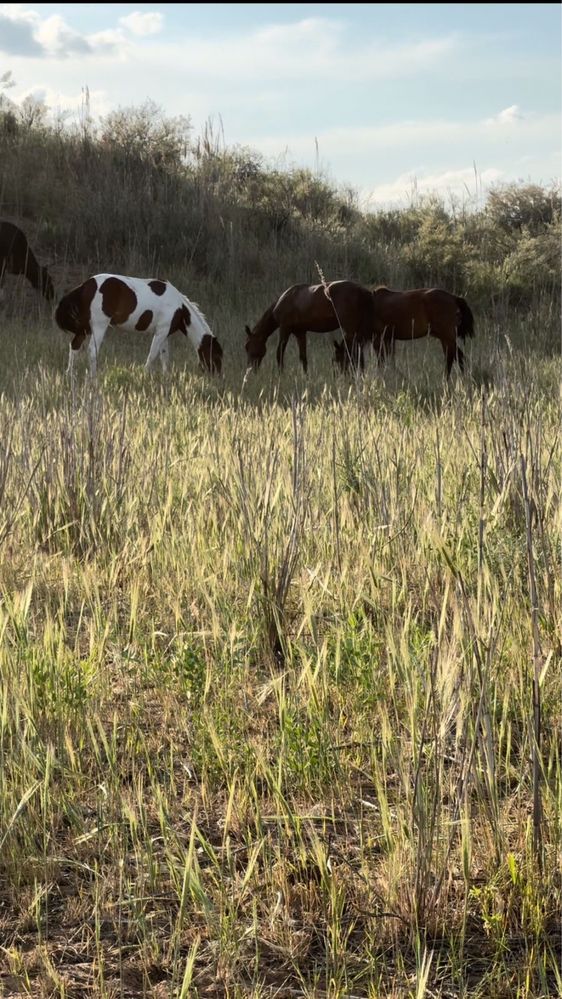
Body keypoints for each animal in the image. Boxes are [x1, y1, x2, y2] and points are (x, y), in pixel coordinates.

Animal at [54, 274, 221, 378]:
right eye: (216, 355)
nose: (217, 376)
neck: (179, 308)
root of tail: (86, 285)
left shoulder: (164, 333)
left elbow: (164, 357)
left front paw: (166, 378)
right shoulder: (160, 332)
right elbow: (152, 355)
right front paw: (145, 375)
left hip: (84, 328)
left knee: (74, 346)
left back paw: (70, 374)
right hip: (98, 327)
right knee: (92, 351)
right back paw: (93, 377)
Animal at [244, 278, 376, 376]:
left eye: (247, 346)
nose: (250, 370)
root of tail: (365, 291)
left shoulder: (284, 328)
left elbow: (279, 353)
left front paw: (281, 375)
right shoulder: (300, 332)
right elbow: (303, 357)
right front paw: (306, 376)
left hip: (350, 329)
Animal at [332, 292, 472, 380]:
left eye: (339, 359)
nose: (342, 378)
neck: (368, 310)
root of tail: (454, 298)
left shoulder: (378, 339)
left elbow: (381, 361)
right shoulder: (388, 339)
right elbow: (389, 359)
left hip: (447, 337)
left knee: (451, 358)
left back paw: (446, 380)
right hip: (447, 338)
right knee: (459, 357)